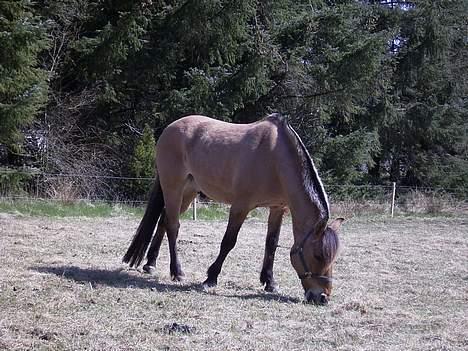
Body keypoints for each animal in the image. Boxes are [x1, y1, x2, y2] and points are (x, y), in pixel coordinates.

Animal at [124, 113, 344, 306]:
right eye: (318, 255)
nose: (322, 297)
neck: (275, 159)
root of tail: (169, 128)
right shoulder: (240, 207)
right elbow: (228, 242)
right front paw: (210, 278)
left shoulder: (277, 208)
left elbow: (271, 243)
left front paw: (270, 282)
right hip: (173, 187)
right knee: (173, 226)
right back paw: (177, 272)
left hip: (187, 192)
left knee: (164, 220)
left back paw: (150, 264)